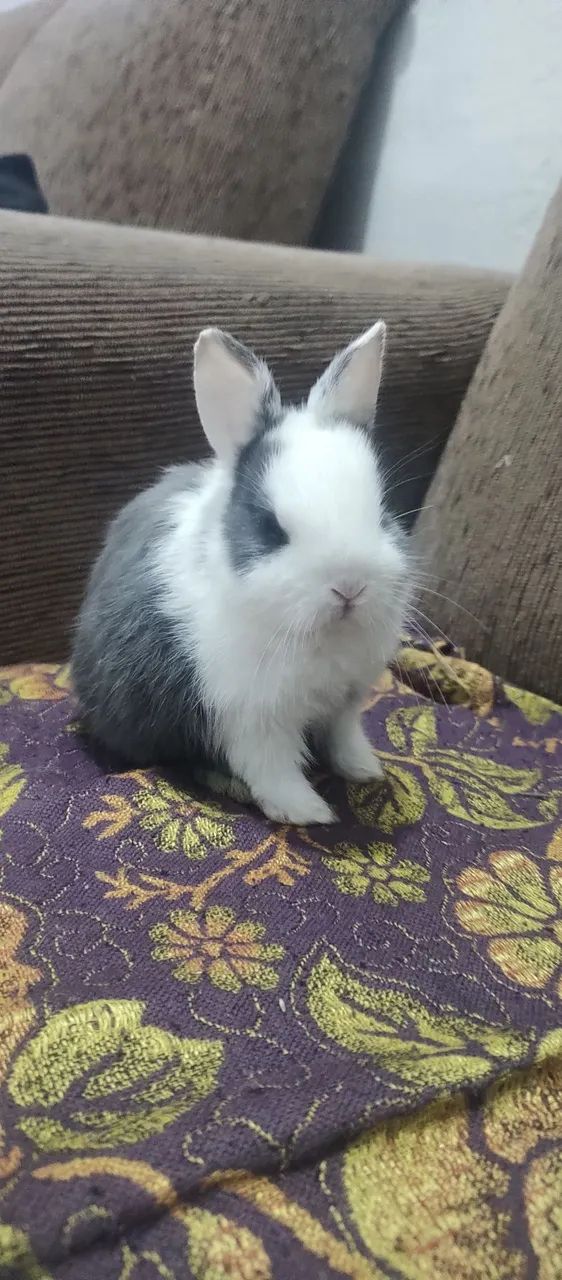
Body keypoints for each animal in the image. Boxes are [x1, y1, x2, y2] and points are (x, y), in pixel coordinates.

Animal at [71, 322, 412, 825]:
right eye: (270, 527)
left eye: (384, 512)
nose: (349, 587)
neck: (320, 635)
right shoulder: (248, 717)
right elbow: (273, 768)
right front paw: (308, 812)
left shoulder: (345, 703)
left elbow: (344, 738)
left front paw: (365, 771)